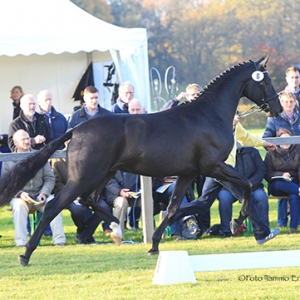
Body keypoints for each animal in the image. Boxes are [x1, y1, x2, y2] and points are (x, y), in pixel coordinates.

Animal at [0, 54, 282, 264]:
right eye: (266, 81)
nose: (278, 109)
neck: (209, 115)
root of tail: (76, 130)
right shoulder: (213, 166)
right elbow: (244, 186)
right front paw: (236, 222)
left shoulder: (189, 174)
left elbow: (174, 209)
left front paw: (154, 245)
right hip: (84, 177)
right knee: (54, 207)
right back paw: (26, 254)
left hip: (102, 174)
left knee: (90, 200)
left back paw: (117, 228)